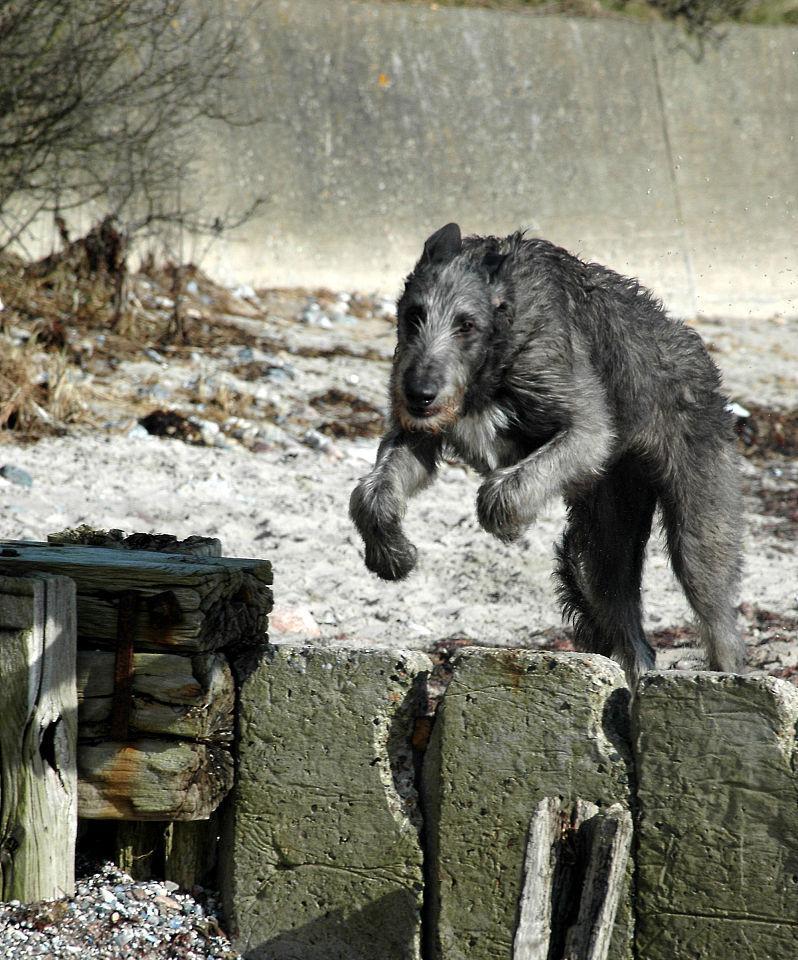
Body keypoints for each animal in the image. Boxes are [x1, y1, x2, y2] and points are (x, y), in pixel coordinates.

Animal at [350, 223, 744, 684]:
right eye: (414, 315)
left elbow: (502, 491)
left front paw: (508, 523)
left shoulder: (584, 425)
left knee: (714, 612)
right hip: (602, 543)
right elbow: (371, 494)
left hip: (698, 524)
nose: (418, 396)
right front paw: (393, 554)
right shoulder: (417, 434)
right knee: (629, 633)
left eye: (467, 325)